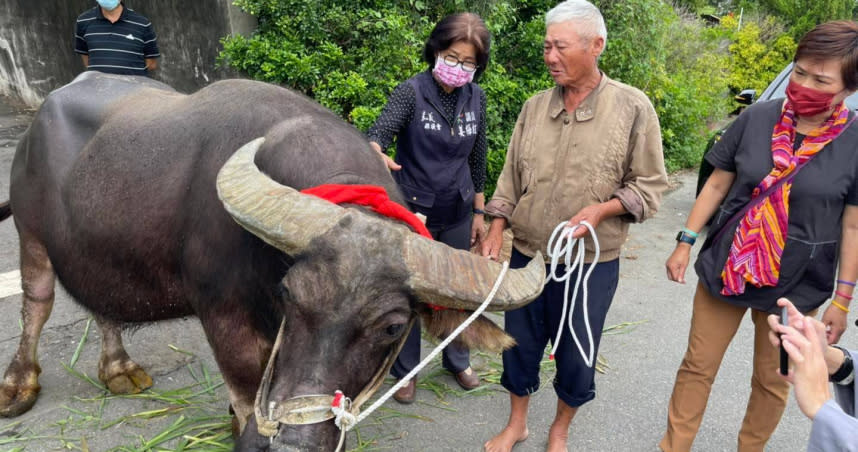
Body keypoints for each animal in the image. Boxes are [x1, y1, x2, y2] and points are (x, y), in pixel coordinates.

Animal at [0, 72, 540, 450]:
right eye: (289, 295)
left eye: (391, 327)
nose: (296, 443)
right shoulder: (222, 313)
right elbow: (246, 383)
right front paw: (246, 429)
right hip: (29, 231)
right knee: (38, 300)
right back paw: (18, 385)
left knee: (102, 302)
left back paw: (118, 369)